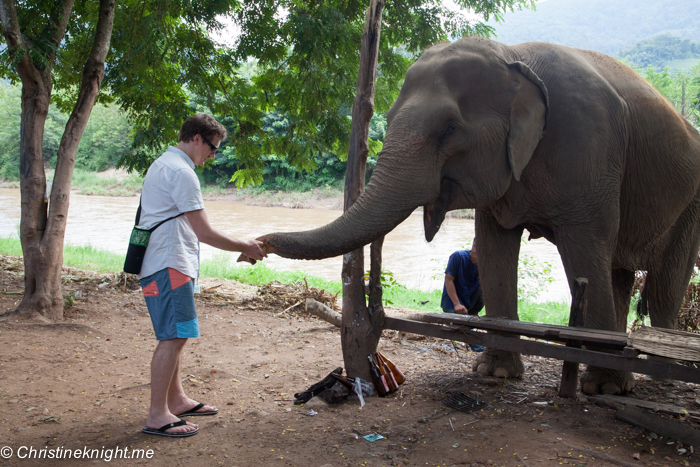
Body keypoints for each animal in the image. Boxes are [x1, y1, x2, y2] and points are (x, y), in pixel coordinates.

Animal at [252, 35, 700, 394]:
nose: (258, 243)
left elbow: (585, 251)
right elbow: (494, 246)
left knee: (663, 285)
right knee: (620, 274)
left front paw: (604, 388)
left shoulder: (589, 148)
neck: (514, 55)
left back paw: (661, 375)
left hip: (692, 202)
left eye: (449, 129)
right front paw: (494, 374)